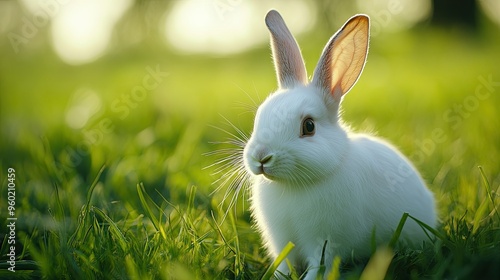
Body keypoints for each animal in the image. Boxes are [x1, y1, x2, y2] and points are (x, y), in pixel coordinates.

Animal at [243, 9, 438, 278]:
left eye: (309, 126)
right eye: (259, 115)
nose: (261, 157)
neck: (293, 185)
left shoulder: (325, 242)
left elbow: (318, 266)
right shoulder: (283, 242)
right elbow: (284, 264)